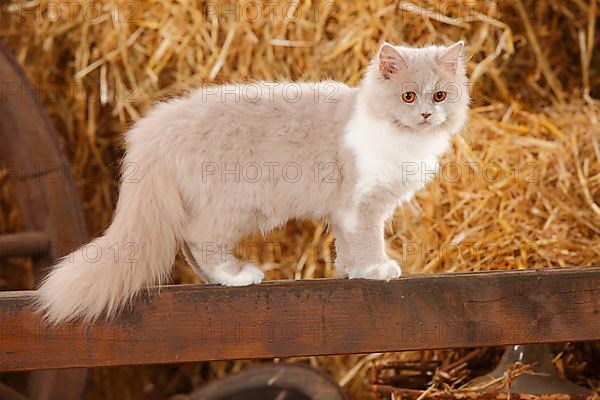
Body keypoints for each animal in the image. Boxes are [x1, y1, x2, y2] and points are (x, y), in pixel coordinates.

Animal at [36, 41, 468, 322]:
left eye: (440, 96)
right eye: (409, 97)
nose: (427, 115)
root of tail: (157, 128)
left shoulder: (346, 209)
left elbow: (345, 245)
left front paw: (352, 271)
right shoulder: (362, 202)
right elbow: (367, 240)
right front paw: (377, 269)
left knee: (190, 246)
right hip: (233, 206)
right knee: (200, 240)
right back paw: (237, 277)